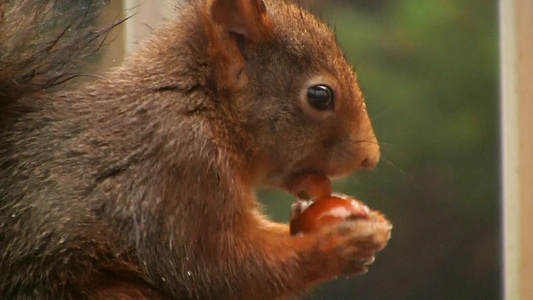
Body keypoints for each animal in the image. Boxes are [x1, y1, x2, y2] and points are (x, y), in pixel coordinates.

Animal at [0, 0, 390, 298]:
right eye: (319, 96)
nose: (370, 158)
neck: (204, 104)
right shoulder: (180, 172)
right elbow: (221, 271)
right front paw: (344, 242)